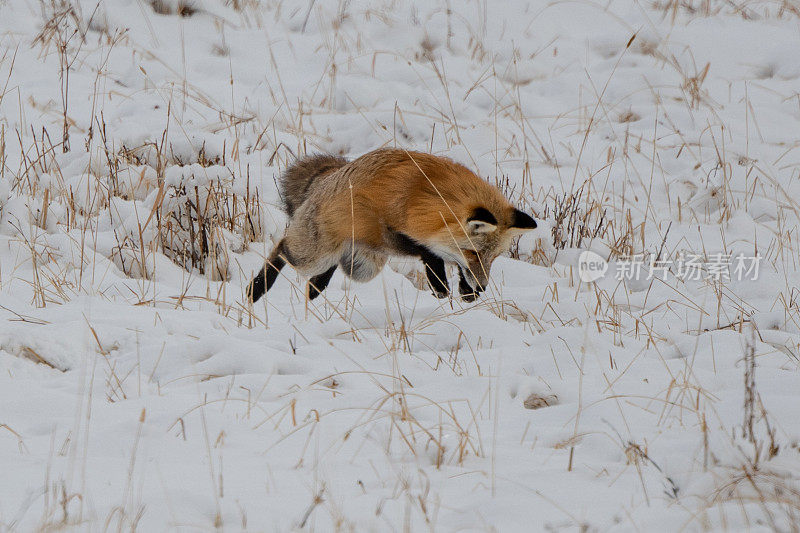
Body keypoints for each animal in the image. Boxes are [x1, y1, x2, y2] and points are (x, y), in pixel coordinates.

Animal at [247, 148, 536, 302]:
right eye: (473, 253)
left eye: (493, 257)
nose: (483, 287)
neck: (422, 195)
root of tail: (330, 176)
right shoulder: (389, 230)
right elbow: (429, 253)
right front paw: (442, 290)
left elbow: (452, 264)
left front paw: (466, 292)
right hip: (315, 255)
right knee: (282, 248)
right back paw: (257, 289)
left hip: (361, 268)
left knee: (321, 276)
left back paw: (313, 297)